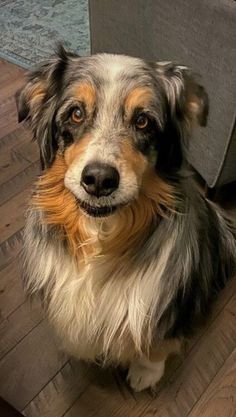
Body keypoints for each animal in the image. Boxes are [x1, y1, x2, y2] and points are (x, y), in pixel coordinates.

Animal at [15, 45, 235, 390]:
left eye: (143, 121)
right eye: (76, 114)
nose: (99, 180)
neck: (101, 234)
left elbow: (158, 341)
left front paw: (146, 372)